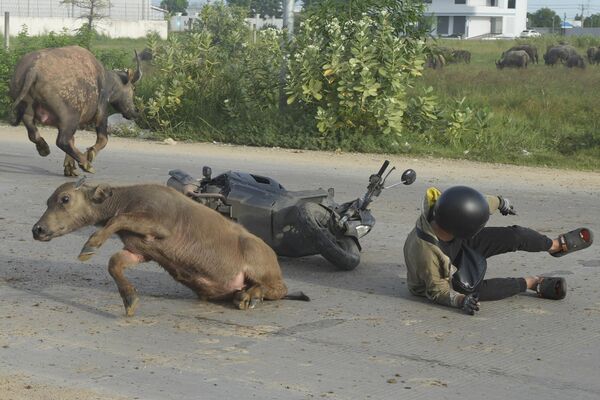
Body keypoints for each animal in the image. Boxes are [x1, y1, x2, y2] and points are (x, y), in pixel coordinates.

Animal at [10, 45, 142, 177]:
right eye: (133, 88)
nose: (134, 112)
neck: (106, 81)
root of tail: (34, 69)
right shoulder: (101, 113)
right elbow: (103, 139)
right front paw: (89, 155)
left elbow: (73, 140)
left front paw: (69, 167)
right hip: (71, 117)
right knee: (62, 141)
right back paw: (86, 164)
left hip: (28, 112)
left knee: (34, 134)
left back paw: (44, 148)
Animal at [31, 180, 310, 316]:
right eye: (47, 201)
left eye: (65, 199)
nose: (38, 229)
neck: (128, 199)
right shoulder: (140, 250)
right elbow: (114, 264)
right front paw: (129, 298)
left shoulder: (158, 225)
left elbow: (117, 219)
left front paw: (90, 245)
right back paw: (244, 294)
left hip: (259, 261)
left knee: (278, 288)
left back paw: (251, 296)